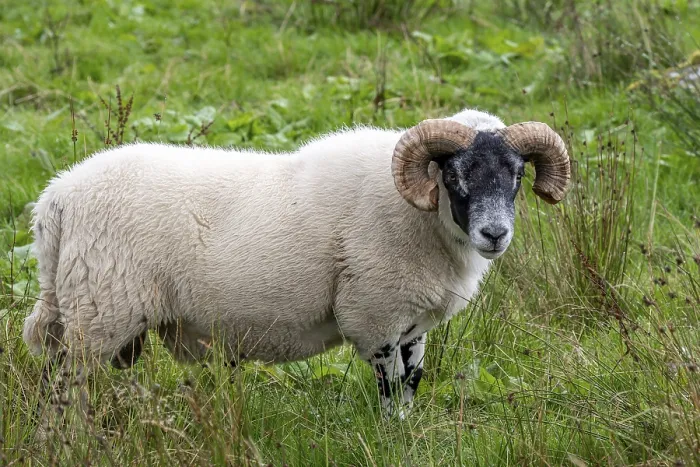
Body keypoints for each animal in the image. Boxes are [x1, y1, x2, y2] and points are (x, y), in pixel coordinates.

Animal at [23, 108, 570, 421]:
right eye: (453, 174)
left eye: (517, 174)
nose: (494, 234)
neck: (423, 218)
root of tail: (56, 199)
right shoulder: (374, 314)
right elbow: (390, 385)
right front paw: (390, 438)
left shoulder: (412, 322)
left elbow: (411, 382)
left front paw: (407, 432)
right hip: (101, 312)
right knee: (65, 387)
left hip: (81, 311)